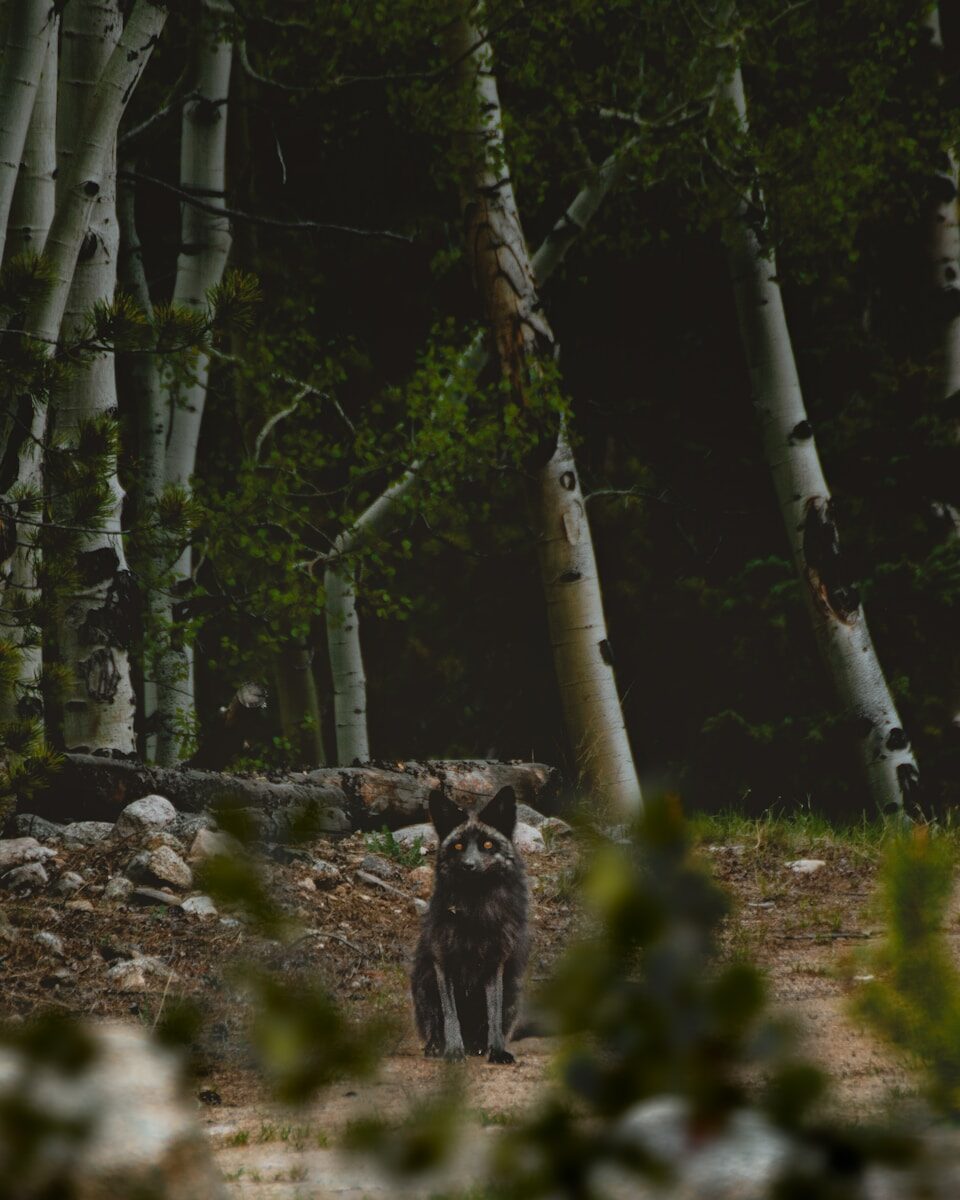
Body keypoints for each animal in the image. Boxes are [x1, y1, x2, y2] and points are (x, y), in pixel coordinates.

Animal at [410, 785, 529, 1063]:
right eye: (458, 845)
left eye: (487, 844)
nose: (469, 865)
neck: (476, 911)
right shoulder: (443, 963)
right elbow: (450, 1016)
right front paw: (454, 1052)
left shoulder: (495, 965)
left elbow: (493, 1014)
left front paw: (496, 1051)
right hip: (424, 981)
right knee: (434, 1024)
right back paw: (437, 1047)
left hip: (513, 986)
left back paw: (478, 1046)